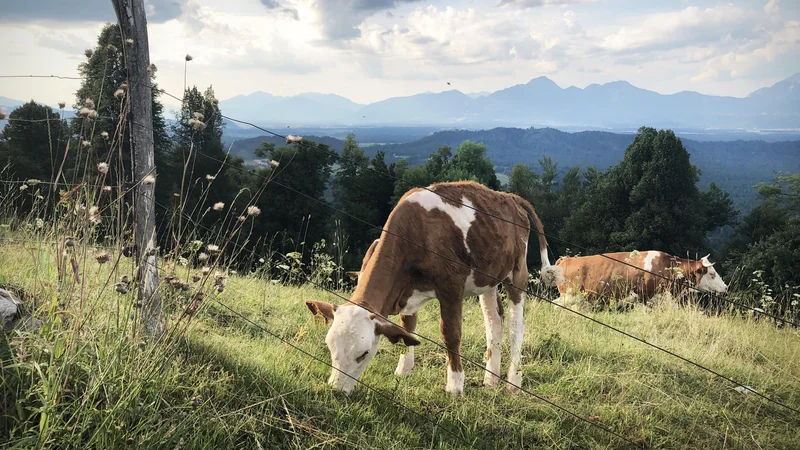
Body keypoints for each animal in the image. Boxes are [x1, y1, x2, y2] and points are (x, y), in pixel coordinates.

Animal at [304, 179, 564, 394]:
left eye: (364, 353)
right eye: (330, 347)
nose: (336, 389)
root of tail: (509, 196)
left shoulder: (451, 286)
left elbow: (451, 333)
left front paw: (455, 384)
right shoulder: (406, 291)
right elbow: (407, 329)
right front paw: (404, 370)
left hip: (517, 273)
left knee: (515, 325)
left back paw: (513, 380)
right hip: (488, 279)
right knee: (494, 322)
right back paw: (491, 379)